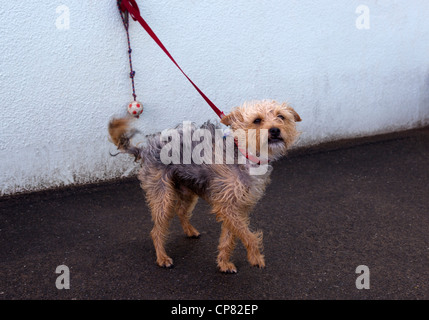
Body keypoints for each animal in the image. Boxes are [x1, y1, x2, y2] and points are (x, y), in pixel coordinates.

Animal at [108, 100, 300, 272]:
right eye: (257, 120)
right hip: (163, 197)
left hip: (187, 191)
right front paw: (255, 257)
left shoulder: (237, 207)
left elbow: (230, 236)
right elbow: (248, 235)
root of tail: (145, 150)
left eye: (281, 116)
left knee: (181, 211)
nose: (275, 130)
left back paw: (190, 231)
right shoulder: (227, 206)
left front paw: (223, 263)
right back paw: (162, 258)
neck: (245, 155)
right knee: (156, 231)